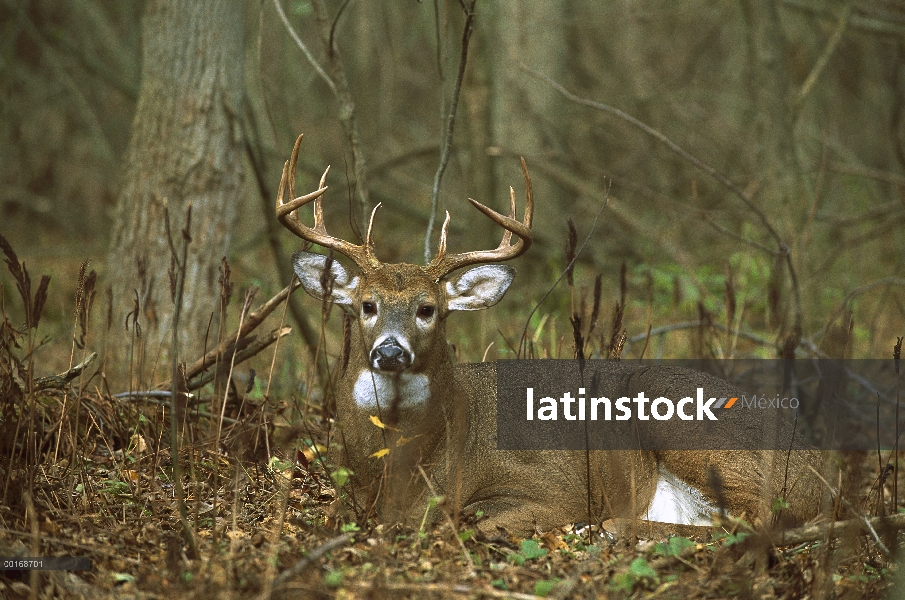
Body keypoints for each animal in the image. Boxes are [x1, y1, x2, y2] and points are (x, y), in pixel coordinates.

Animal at [274, 136, 820, 536]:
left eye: (429, 310)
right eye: (367, 305)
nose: (390, 350)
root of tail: (822, 476)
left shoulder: (551, 489)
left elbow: (473, 524)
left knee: (756, 524)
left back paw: (608, 529)